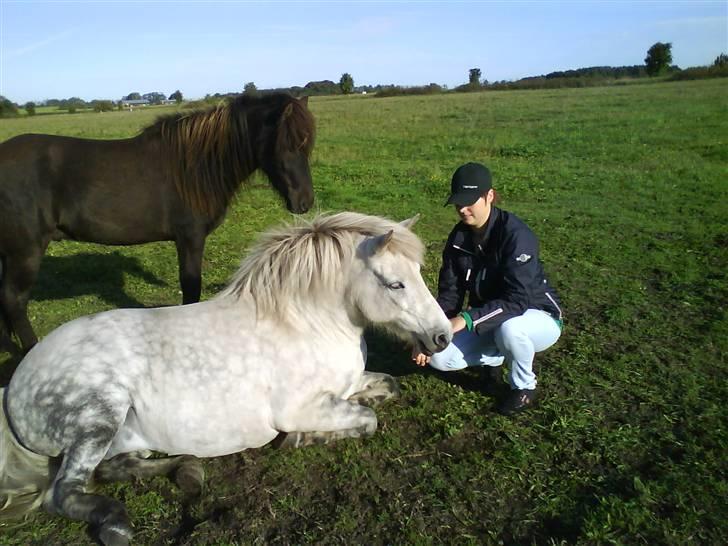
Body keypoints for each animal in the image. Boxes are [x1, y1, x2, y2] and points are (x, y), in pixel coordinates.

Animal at [0, 210, 452, 540]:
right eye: (395, 284)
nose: (442, 336)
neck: (306, 323)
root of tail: (14, 388)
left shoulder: (348, 383)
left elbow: (387, 388)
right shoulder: (300, 408)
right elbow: (367, 420)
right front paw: (304, 439)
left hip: (119, 434)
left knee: (110, 468)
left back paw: (186, 470)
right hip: (99, 416)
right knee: (63, 492)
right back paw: (116, 523)